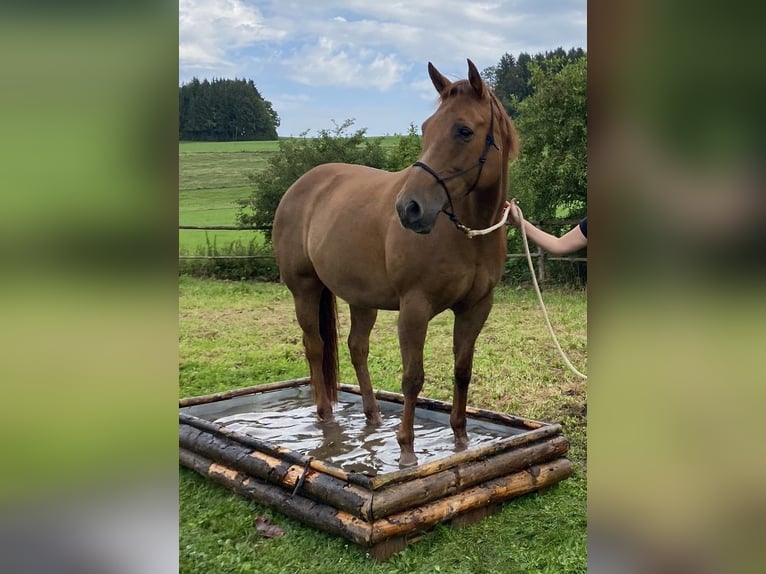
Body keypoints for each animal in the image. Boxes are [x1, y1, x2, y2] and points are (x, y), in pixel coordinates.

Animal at [272, 58, 520, 470]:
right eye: (426, 128)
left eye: (464, 130)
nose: (409, 208)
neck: (466, 233)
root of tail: (301, 186)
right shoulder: (414, 309)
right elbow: (412, 378)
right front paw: (406, 450)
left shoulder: (475, 308)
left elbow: (462, 370)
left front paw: (461, 438)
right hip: (304, 289)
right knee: (315, 347)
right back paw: (326, 416)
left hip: (361, 299)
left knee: (357, 348)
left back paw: (372, 416)